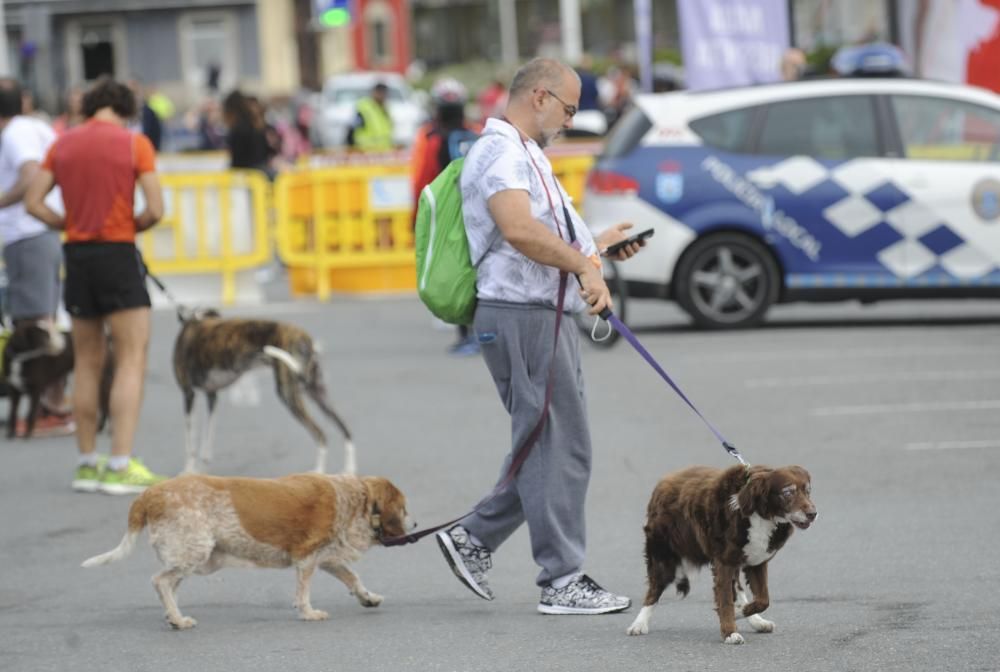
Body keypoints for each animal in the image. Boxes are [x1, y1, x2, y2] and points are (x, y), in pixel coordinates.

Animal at [80, 472, 416, 632]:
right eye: (403, 508)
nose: (415, 524)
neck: (356, 498)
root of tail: (149, 494)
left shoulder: (328, 558)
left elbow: (353, 578)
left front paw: (368, 598)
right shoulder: (307, 558)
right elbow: (303, 593)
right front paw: (308, 613)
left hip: (192, 556)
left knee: (169, 586)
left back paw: (173, 617)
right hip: (195, 551)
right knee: (160, 581)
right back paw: (177, 619)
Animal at [175, 308, 356, 476]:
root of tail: (306, 338)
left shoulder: (188, 394)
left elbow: (190, 442)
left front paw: (188, 472)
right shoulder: (212, 395)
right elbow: (207, 440)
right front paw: (202, 471)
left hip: (288, 393)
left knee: (321, 434)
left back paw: (318, 472)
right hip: (317, 392)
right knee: (345, 429)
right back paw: (348, 470)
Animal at [628, 464, 816, 644]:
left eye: (807, 490)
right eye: (787, 492)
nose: (813, 514)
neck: (759, 515)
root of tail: (663, 482)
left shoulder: (756, 562)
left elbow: (763, 599)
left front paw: (740, 614)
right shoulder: (724, 563)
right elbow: (725, 600)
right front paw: (730, 633)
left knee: (738, 590)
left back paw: (756, 621)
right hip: (663, 557)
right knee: (654, 590)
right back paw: (639, 624)